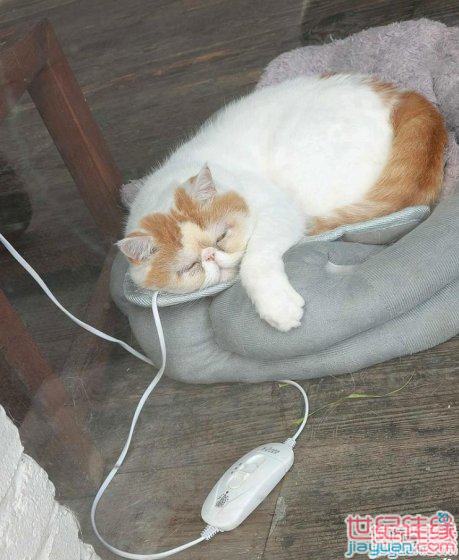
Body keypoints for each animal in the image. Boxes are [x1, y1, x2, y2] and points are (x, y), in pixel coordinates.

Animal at [118, 74, 446, 331]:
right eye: (188, 267)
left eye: (221, 236)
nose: (211, 256)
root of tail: (403, 97)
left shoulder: (280, 211)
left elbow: (254, 261)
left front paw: (277, 308)